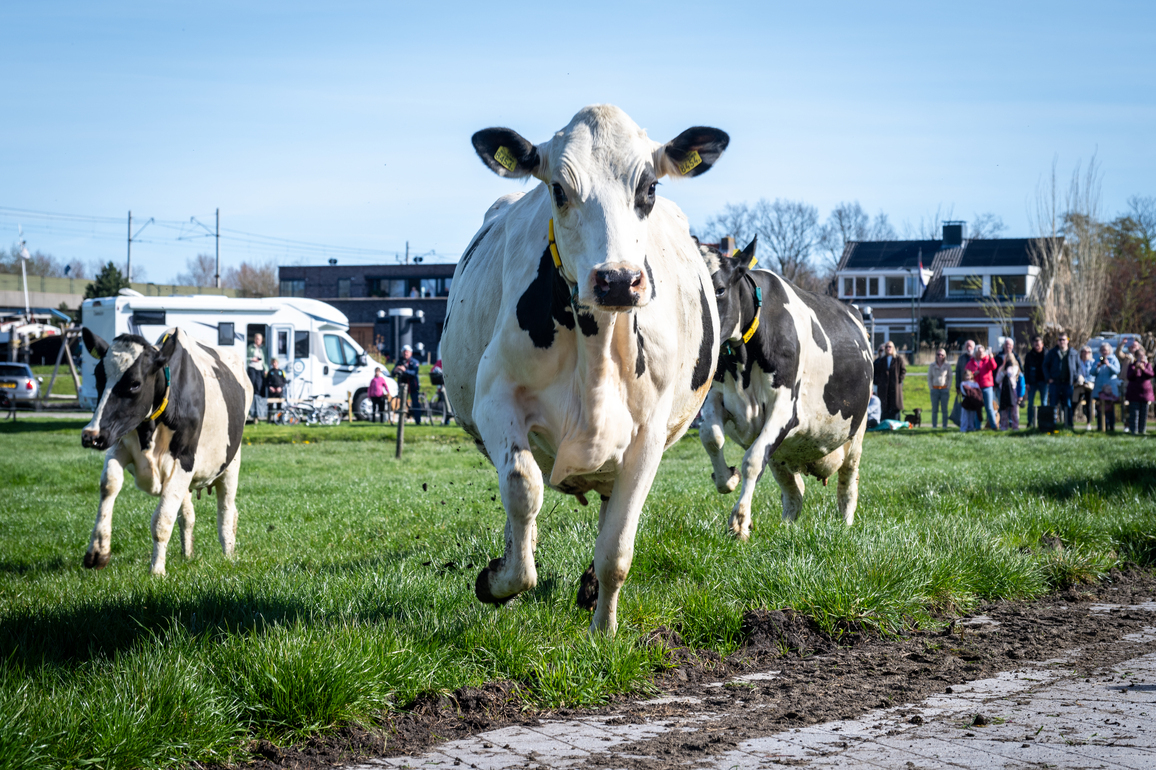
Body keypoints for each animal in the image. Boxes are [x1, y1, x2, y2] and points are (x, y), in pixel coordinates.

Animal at [80, 327, 252, 575]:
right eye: (98, 377)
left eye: (135, 384)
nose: (91, 435)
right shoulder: (118, 444)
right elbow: (109, 484)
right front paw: (97, 552)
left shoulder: (184, 461)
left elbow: (162, 519)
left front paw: (157, 571)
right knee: (187, 516)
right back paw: (187, 554)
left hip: (231, 464)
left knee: (227, 511)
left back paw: (228, 553)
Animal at [441, 105, 728, 634]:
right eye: (558, 189)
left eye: (649, 187)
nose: (617, 279)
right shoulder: (495, 400)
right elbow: (522, 487)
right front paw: (499, 580)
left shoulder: (649, 436)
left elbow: (617, 545)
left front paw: (604, 631)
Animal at [699, 238, 873, 540]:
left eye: (719, 289)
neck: (743, 360)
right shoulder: (717, 396)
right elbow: (711, 436)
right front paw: (726, 479)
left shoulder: (785, 407)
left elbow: (752, 460)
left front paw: (740, 522)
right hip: (783, 454)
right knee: (794, 492)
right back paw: (787, 526)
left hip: (855, 434)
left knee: (848, 483)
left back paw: (846, 524)